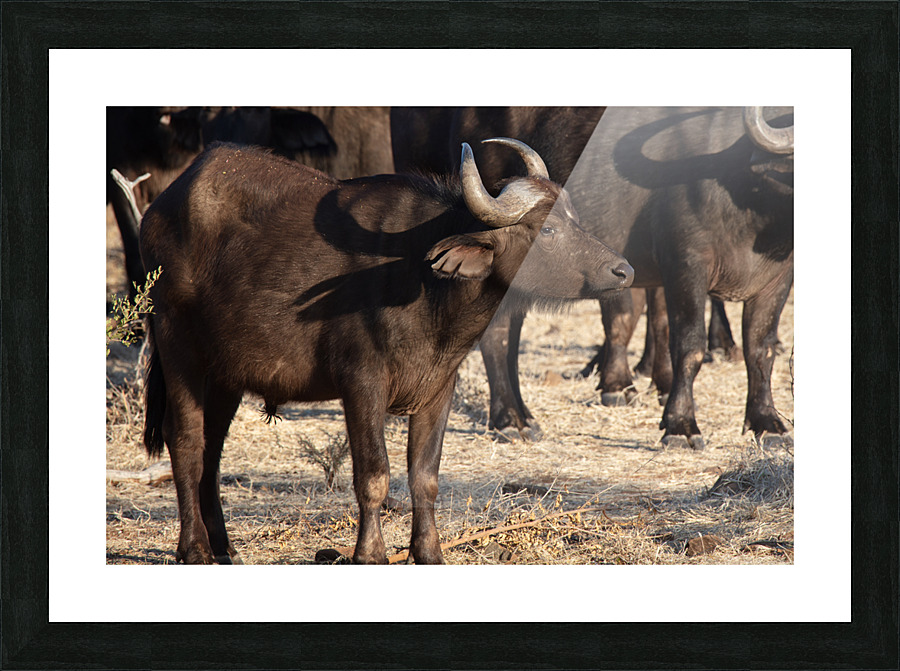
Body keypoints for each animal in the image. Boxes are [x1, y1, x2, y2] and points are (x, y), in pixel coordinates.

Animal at [140, 138, 633, 564]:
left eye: (574, 218)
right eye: (547, 229)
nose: (623, 270)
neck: (425, 282)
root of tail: (158, 211)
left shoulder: (438, 388)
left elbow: (425, 477)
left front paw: (429, 552)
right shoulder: (361, 385)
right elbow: (374, 476)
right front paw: (370, 553)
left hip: (225, 375)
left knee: (212, 452)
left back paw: (224, 546)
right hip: (178, 347)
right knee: (186, 443)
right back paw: (194, 548)